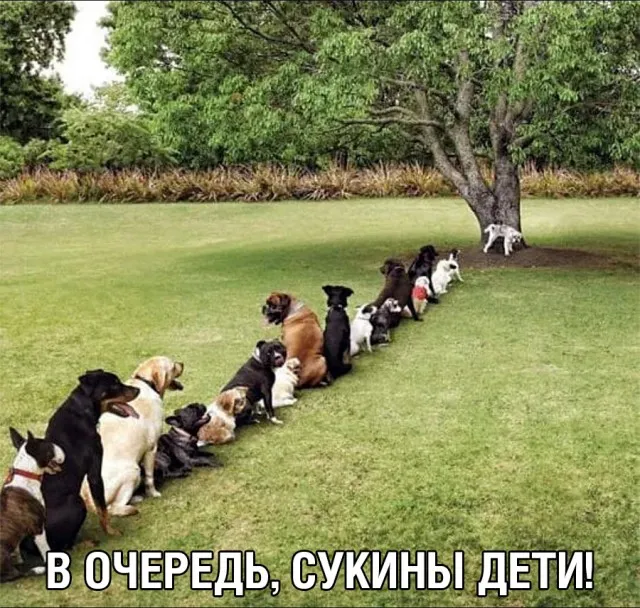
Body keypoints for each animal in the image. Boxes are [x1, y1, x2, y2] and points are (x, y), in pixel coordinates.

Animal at [1, 429, 65, 582]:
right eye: (50, 449)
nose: (63, 450)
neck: (26, 474)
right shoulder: (38, 528)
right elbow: (46, 549)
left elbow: (17, 548)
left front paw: (18, 558)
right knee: (15, 575)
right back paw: (38, 569)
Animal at [40, 370, 139, 551]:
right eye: (114, 384)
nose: (138, 390)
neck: (81, 411)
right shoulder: (95, 474)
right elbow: (102, 509)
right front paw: (112, 532)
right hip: (77, 502)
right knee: (63, 546)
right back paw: (86, 543)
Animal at [81, 357, 184, 518]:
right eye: (173, 366)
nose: (182, 364)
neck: (146, 383)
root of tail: (89, 500)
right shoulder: (151, 448)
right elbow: (149, 477)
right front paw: (153, 493)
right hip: (133, 471)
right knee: (113, 507)